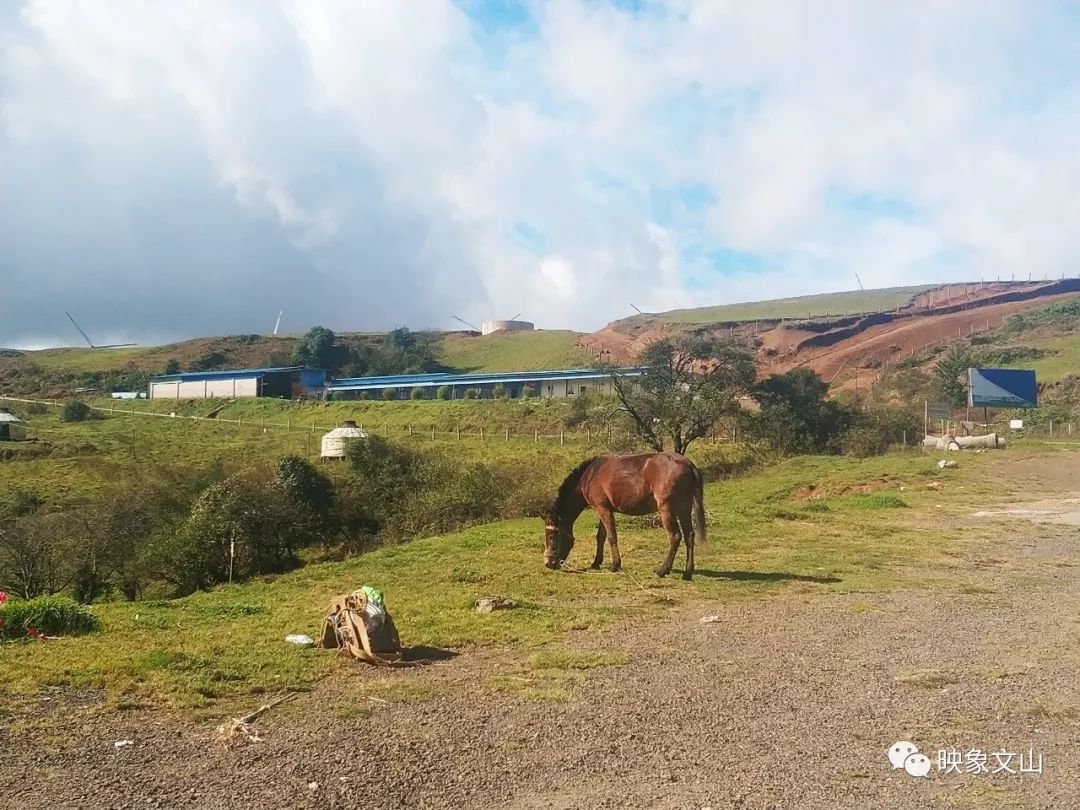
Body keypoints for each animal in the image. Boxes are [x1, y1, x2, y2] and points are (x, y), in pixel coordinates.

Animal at [540, 453, 708, 578]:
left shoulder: (603, 510)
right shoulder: (605, 510)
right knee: (689, 535)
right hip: (684, 507)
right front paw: (596, 563)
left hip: (667, 509)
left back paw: (663, 570)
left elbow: (611, 537)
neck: (590, 475)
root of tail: (688, 464)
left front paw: (615, 565)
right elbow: (601, 537)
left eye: (552, 536)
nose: (548, 563)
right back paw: (687, 573)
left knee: (675, 536)